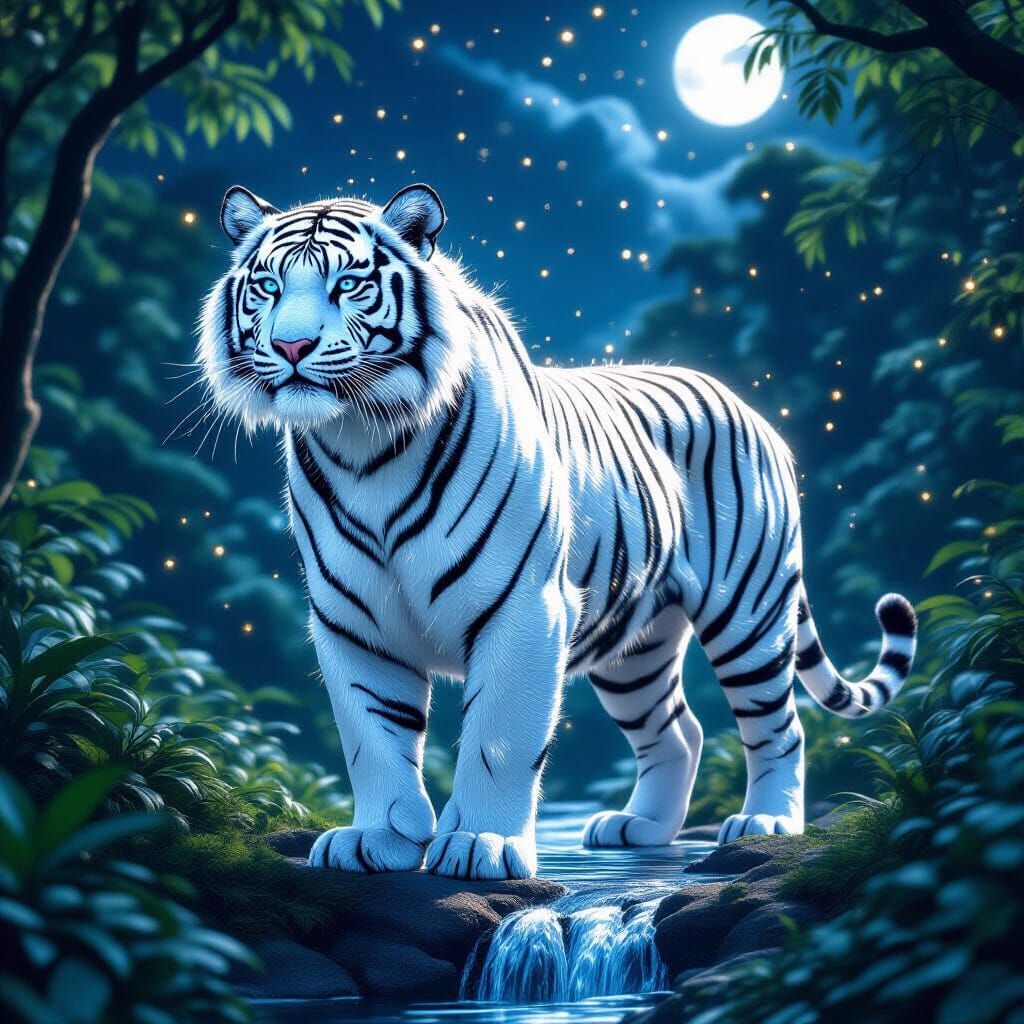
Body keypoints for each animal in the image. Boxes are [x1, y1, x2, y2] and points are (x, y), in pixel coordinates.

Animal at [197, 182, 917, 880]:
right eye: (268, 286)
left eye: (348, 283)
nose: (291, 347)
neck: (364, 441)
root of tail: (751, 408)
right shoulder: (351, 620)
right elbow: (371, 737)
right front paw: (377, 839)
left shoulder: (522, 609)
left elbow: (499, 737)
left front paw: (481, 844)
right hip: (636, 647)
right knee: (678, 729)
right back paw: (640, 827)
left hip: (748, 609)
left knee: (779, 724)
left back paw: (765, 824)